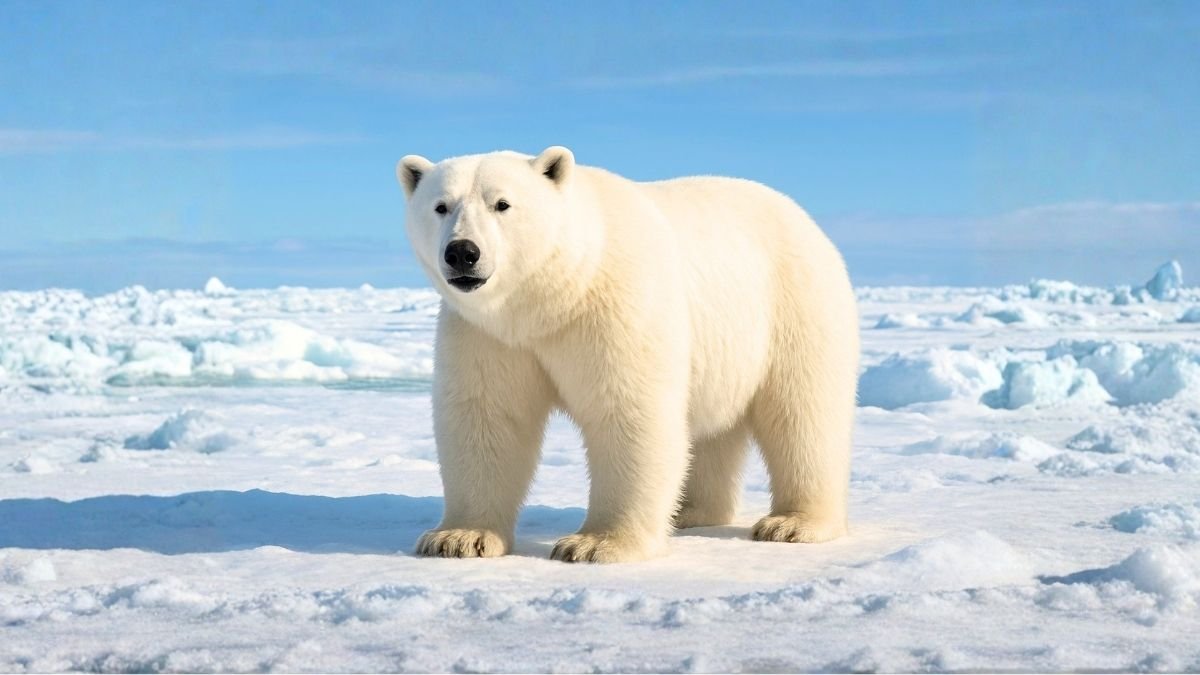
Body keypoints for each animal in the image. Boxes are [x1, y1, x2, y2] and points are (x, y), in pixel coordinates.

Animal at [396, 146, 859, 563]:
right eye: (441, 206)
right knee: (711, 430)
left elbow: (627, 410)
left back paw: (793, 523)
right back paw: (690, 511)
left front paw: (595, 544)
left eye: (502, 204)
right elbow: (486, 416)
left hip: (794, 305)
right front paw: (458, 537)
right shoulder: (487, 335)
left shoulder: (616, 306)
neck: (554, 295)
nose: (462, 252)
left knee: (802, 413)